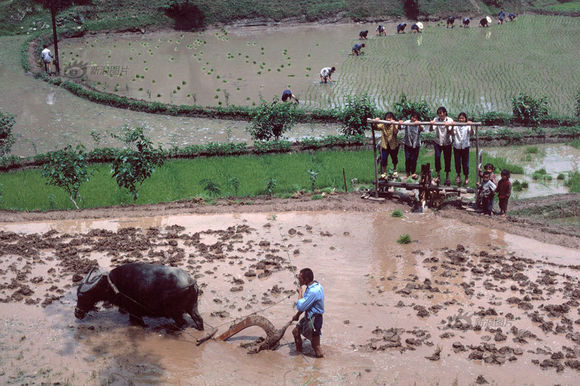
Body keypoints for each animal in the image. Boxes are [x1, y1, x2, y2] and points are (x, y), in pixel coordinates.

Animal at [74, 264, 204, 330]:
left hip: (175, 312)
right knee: (199, 320)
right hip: (193, 308)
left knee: (182, 323)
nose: (77, 313)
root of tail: (191, 282)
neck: (113, 285)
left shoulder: (134, 312)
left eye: (82, 296)